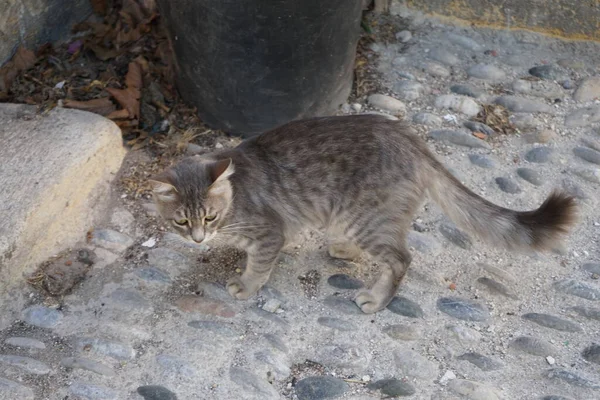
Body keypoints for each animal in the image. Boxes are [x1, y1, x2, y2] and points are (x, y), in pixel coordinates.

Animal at [150, 114, 576, 314]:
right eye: (181, 221)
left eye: (208, 217)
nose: (198, 239)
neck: (236, 198)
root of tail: (411, 140)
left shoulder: (269, 231)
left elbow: (258, 265)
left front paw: (245, 284)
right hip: (354, 216)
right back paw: (343, 249)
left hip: (366, 220)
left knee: (401, 258)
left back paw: (376, 297)